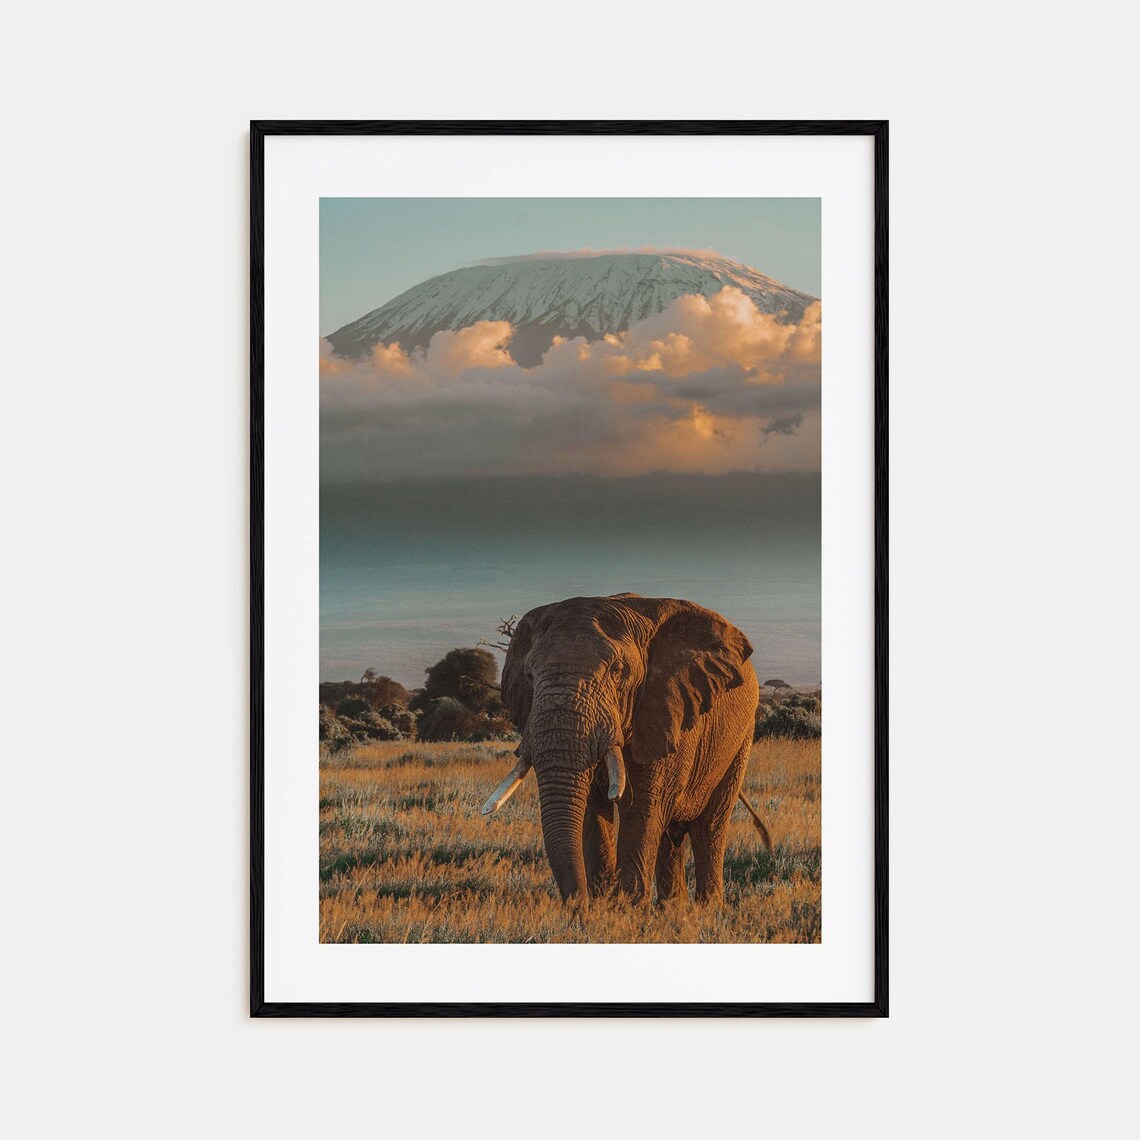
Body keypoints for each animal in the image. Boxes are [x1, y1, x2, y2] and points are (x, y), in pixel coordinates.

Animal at [481, 593, 771, 904]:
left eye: (617, 671)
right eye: (530, 676)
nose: (578, 906)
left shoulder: (667, 710)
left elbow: (641, 808)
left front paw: (626, 908)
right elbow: (594, 808)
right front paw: (603, 904)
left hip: (740, 740)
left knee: (710, 826)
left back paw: (706, 909)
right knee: (672, 834)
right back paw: (674, 909)